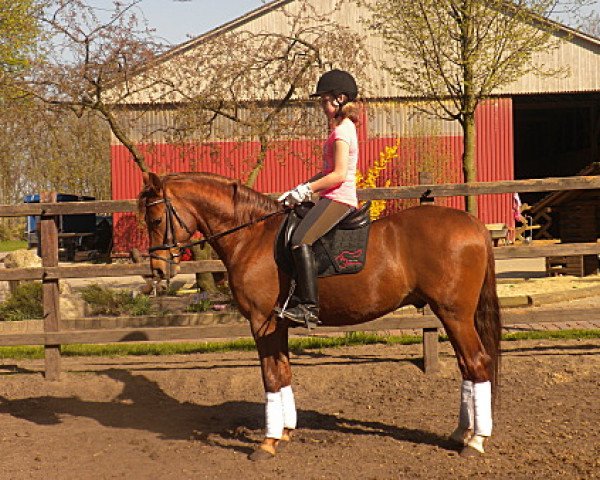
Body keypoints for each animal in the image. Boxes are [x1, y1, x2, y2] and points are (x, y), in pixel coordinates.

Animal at [139, 172, 502, 458]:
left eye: (155, 220)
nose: (157, 270)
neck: (252, 238)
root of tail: (473, 224)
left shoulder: (261, 322)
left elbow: (270, 377)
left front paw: (267, 443)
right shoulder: (278, 324)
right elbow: (284, 373)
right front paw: (285, 431)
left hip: (454, 314)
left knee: (477, 363)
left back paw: (476, 441)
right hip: (451, 315)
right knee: (467, 366)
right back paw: (462, 433)